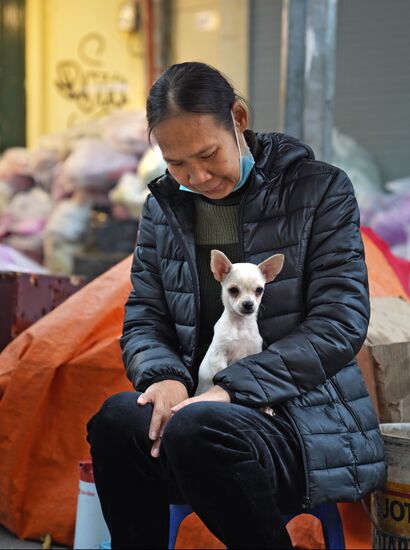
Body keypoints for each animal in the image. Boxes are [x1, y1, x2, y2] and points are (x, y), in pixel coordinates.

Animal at [195, 250, 286, 410]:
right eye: (233, 290)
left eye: (259, 290)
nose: (248, 304)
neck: (241, 325)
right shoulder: (219, 357)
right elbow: (221, 372)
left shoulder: (253, 353)